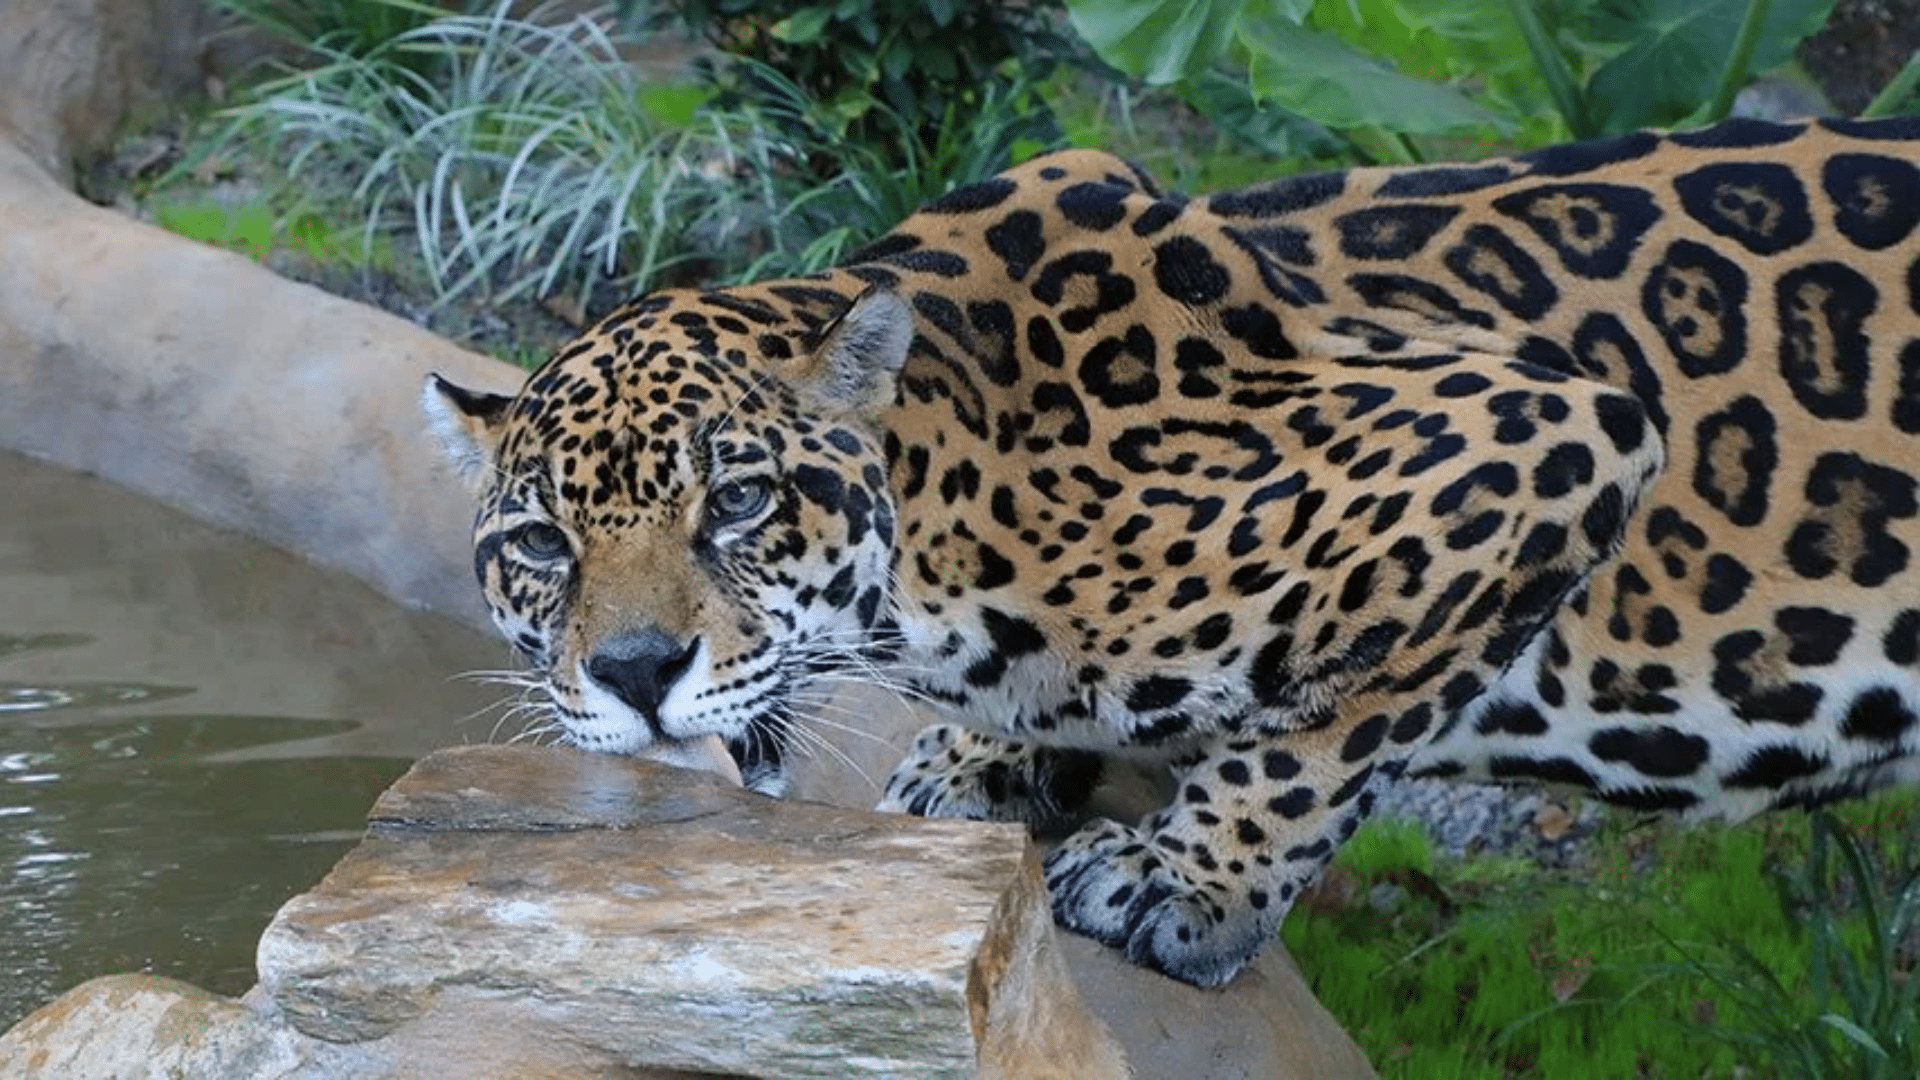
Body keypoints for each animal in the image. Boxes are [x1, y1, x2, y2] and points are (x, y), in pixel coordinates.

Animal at [426, 114, 1920, 989]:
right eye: (541, 541)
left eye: (738, 503)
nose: (633, 672)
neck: (960, 502)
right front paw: (990, 763)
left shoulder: (1551, 434)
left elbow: (1315, 737)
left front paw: (1183, 881)